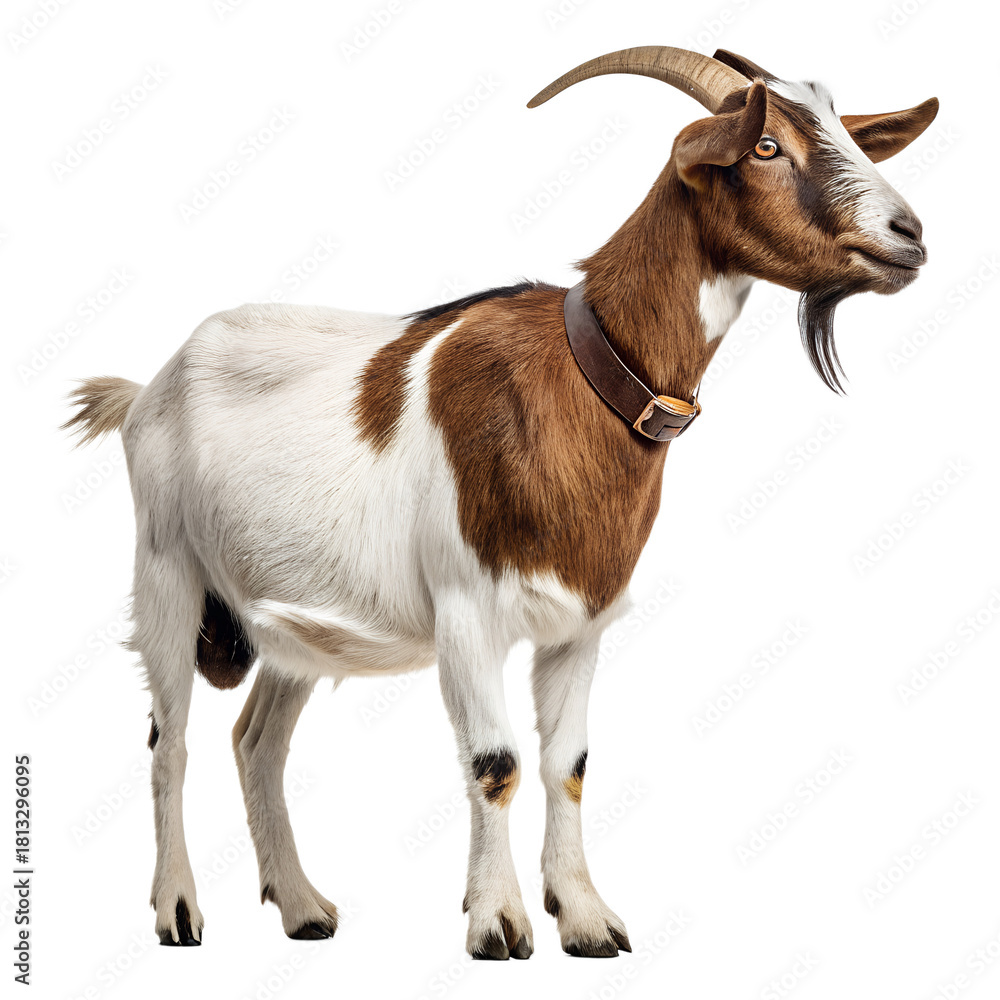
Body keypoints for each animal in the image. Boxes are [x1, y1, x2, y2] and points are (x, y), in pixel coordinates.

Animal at [65, 46, 937, 958]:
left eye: (845, 129)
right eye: (766, 146)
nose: (909, 235)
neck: (581, 374)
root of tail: (149, 387)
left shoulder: (582, 625)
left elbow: (568, 765)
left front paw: (585, 919)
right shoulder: (466, 614)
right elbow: (497, 763)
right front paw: (499, 923)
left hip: (292, 622)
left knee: (256, 741)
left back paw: (303, 907)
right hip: (166, 571)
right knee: (170, 742)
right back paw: (178, 911)